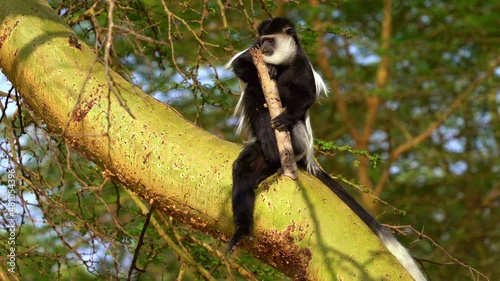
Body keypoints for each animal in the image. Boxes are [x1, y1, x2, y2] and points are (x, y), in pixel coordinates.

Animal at [227, 18, 426, 280]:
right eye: (261, 41)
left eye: (270, 40)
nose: (263, 47)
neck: (284, 62)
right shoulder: (254, 55)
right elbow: (240, 65)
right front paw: (267, 70)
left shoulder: (302, 65)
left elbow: (306, 96)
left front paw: (284, 106)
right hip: (261, 148)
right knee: (252, 106)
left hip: (299, 139)